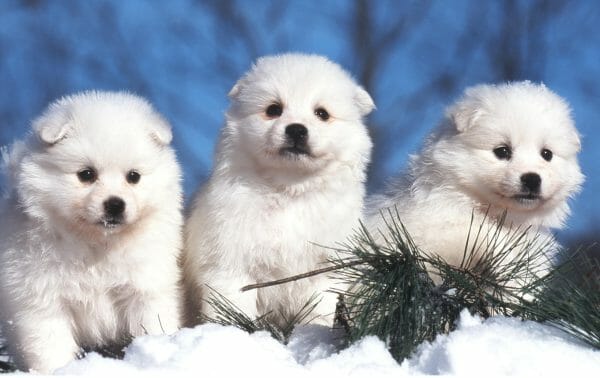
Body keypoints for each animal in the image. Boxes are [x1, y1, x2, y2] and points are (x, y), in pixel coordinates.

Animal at [0, 91, 183, 372]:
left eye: (133, 176)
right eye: (86, 174)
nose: (115, 204)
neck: (97, 243)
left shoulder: (144, 289)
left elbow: (153, 324)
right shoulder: (43, 301)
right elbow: (50, 347)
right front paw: (60, 371)